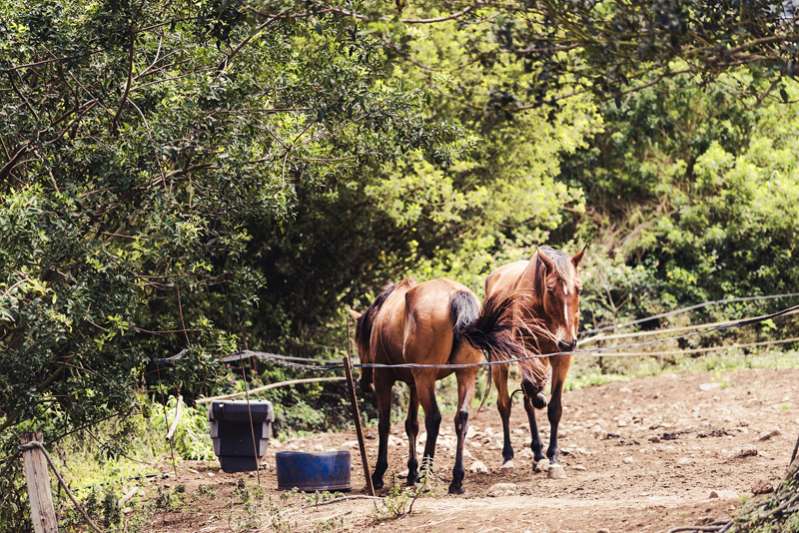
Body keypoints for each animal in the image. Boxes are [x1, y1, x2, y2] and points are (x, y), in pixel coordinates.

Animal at [356, 276, 536, 492]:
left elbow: (385, 425)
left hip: (426, 378)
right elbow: (411, 425)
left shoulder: (385, 380)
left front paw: (379, 474)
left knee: (434, 418)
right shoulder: (414, 385)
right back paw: (456, 479)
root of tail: (456, 295)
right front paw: (411, 472)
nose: (363, 384)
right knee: (462, 418)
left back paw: (426, 474)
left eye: (358, 341)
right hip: (464, 374)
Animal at [484, 245, 584, 474]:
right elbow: (530, 389)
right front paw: (539, 397)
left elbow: (554, 408)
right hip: (499, 360)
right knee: (505, 404)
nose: (567, 342)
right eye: (550, 289)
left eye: (579, 288)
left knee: (525, 401)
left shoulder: (562, 356)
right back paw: (508, 456)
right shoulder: (526, 350)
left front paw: (553, 455)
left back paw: (538, 453)